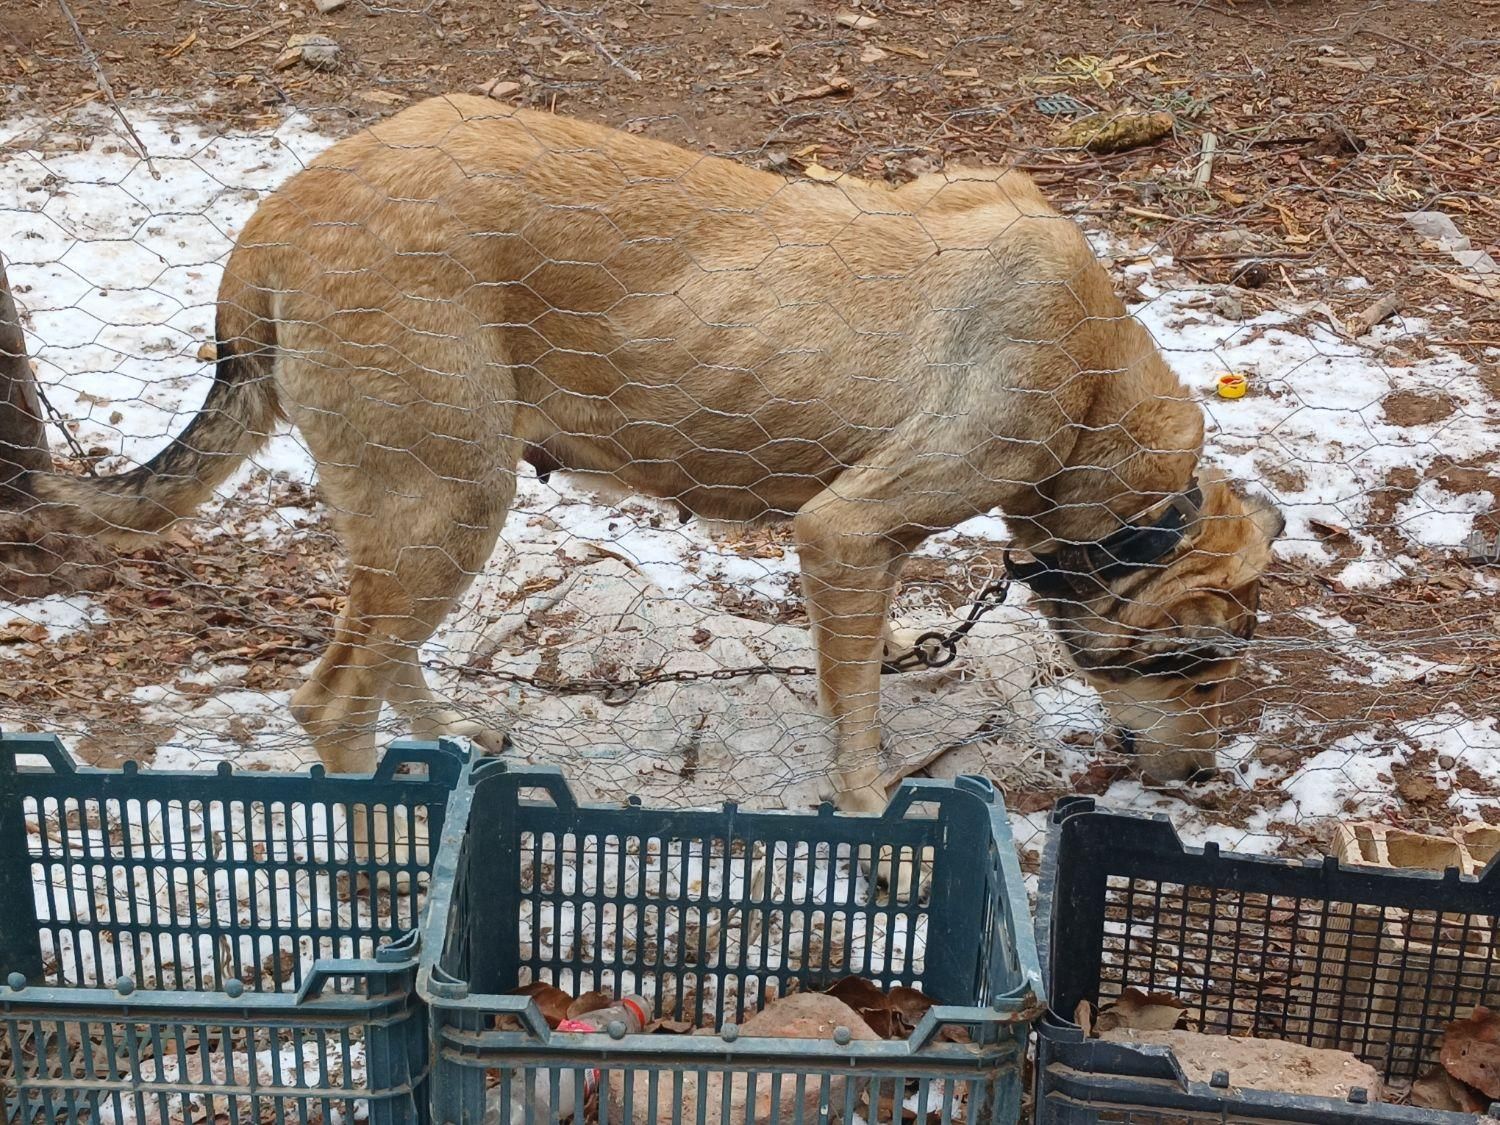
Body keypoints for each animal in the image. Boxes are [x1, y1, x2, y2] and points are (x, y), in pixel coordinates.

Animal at [20, 92, 1278, 804]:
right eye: (1204, 676)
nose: (1204, 780)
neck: (1100, 389)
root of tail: (276, 218)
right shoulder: (843, 530)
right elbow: (857, 716)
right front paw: (871, 811)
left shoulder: (872, 543)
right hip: (453, 500)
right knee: (332, 700)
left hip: (414, 506)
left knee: (379, 655)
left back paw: (442, 747)